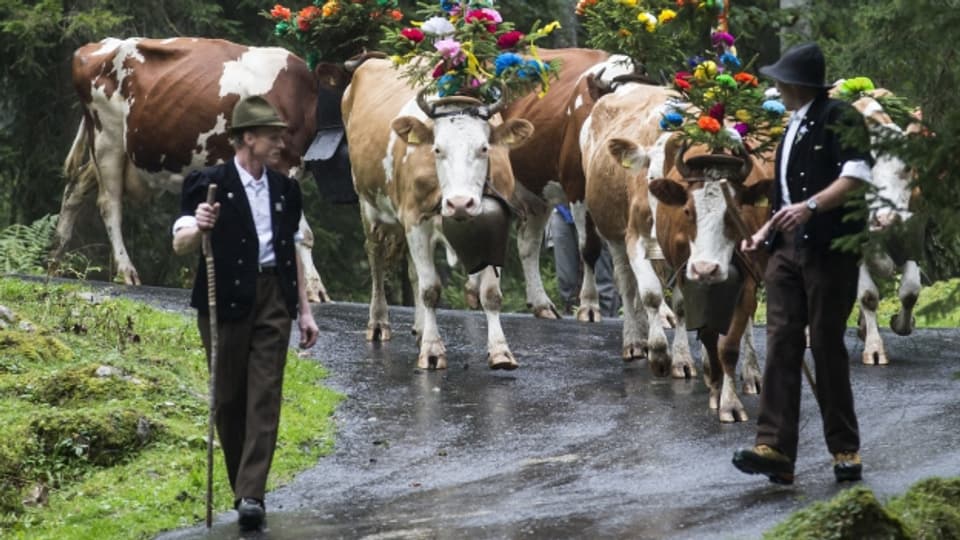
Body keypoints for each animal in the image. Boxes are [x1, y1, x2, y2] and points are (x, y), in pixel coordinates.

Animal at [58, 36, 334, 302]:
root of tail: (99, 45)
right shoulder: (282, 165)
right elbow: (301, 232)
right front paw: (314, 288)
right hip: (108, 140)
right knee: (109, 205)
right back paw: (126, 270)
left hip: (117, 153)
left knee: (75, 187)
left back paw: (55, 257)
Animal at [342, 59, 532, 372]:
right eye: (437, 149)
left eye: (484, 148)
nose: (460, 203)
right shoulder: (415, 221)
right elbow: (431, 289)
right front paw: (432, 351)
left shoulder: (498, 225)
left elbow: (490, 294)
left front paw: (500, 351)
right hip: (368, 206)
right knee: (376, 260)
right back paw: (379, 323)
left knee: (413, 274)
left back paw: (420, 329)